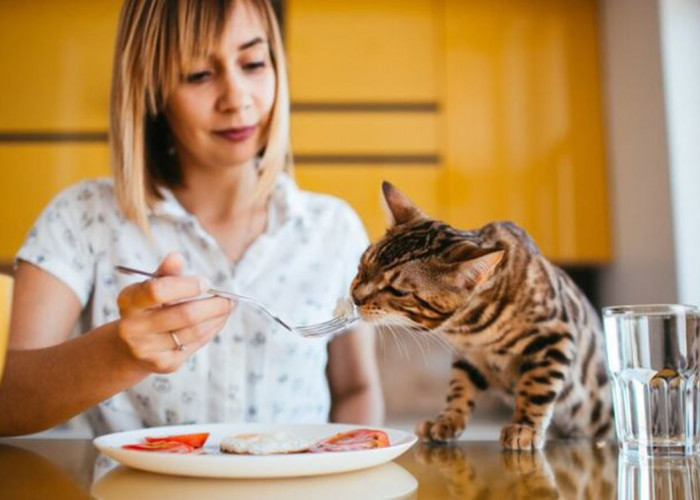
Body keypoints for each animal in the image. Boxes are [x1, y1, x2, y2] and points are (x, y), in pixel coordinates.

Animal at [352, 182, 608, 452]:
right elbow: (459, 389)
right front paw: (446, 421)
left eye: (397, 291)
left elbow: (537, 387)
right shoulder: (468, 356)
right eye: (363, 265)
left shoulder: (555, 335)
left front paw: (525, 427)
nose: (355, 297)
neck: (469, 328)